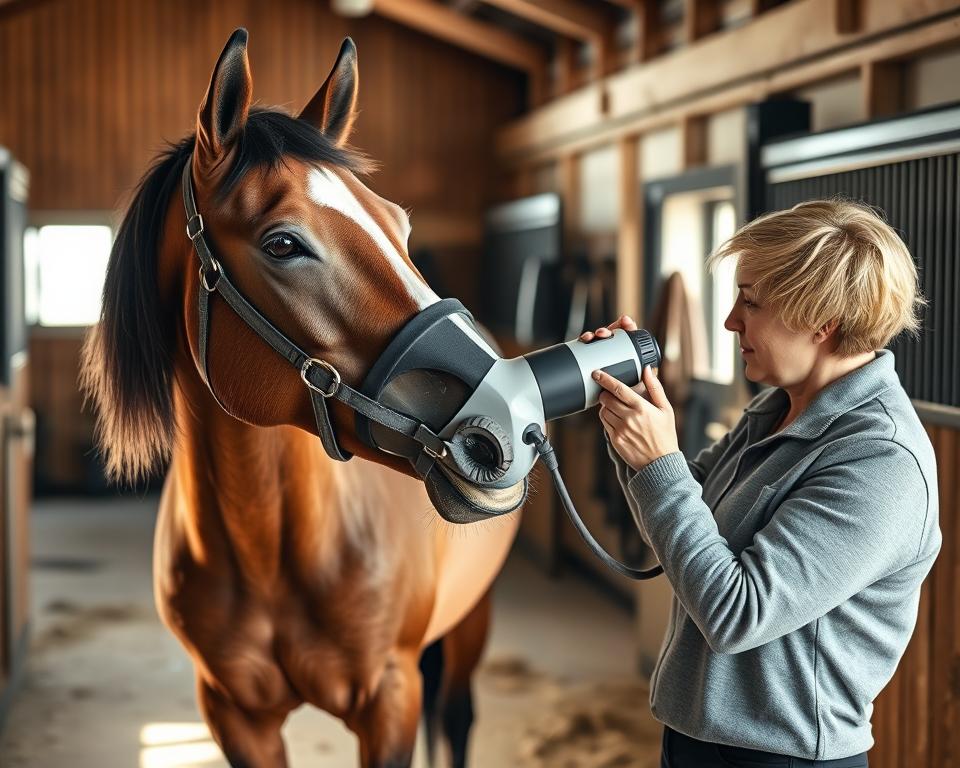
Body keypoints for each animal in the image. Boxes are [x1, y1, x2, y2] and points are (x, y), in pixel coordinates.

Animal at [80, 29, 523, 768]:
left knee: (458, 716)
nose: (511, 411)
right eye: (283, 243)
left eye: (399, 227)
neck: (271, 552)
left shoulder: (391, 699)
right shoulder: (233, 714)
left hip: (473, 617)